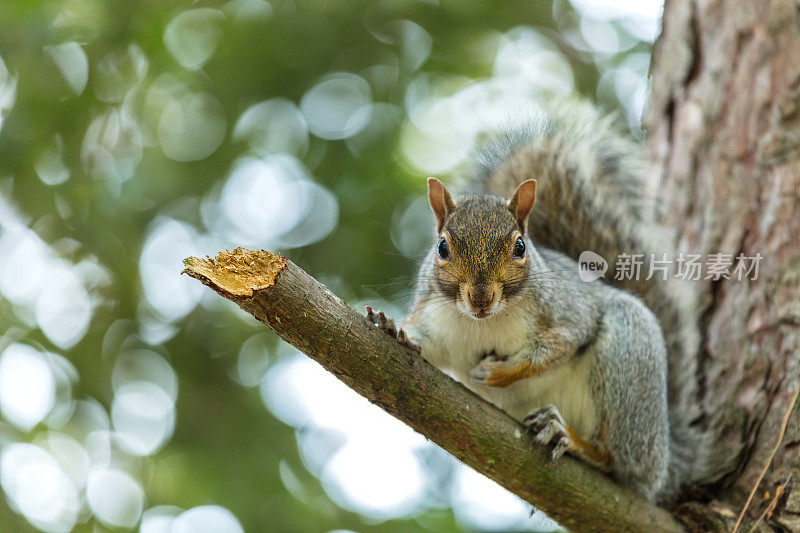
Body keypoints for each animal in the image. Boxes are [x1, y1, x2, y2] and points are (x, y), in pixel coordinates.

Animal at [366, 100, 716, 502]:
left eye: (520, 247)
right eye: (442, 248)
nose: (481, 298)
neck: (485, 321)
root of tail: (665, 458)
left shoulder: (567, 312)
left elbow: (556, 348)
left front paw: (499, 373)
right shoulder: (434, 319)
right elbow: (427, 344)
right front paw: (396, 331)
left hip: (630, 357)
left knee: (619, 461)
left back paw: (574, 439)